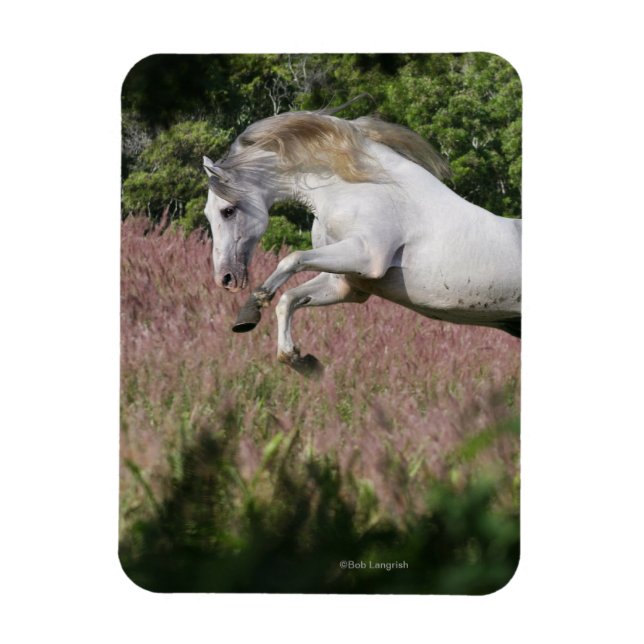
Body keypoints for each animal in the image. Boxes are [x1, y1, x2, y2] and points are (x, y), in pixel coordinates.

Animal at [202, 105, 521, 375]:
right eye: (208, 213)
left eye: (227, 211)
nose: (225, 278)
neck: (360, 187)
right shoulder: (347, 285)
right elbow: (289, 299)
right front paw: (301, 361)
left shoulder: (367, 257)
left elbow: (292, 259)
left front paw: (252, 307)